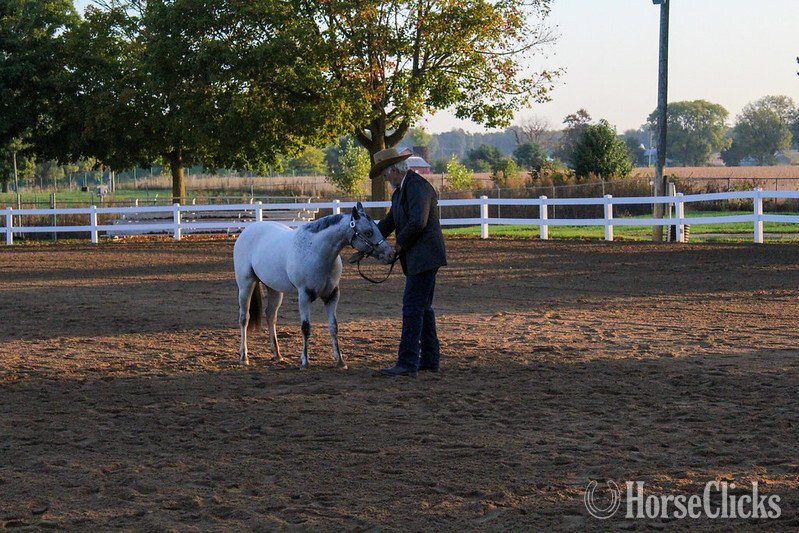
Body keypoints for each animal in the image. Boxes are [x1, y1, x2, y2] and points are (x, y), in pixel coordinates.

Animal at [233, 202, 395, 368]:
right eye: (368, 232)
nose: (391, 254)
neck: (316, 251)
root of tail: (248, 230)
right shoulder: (304, 295)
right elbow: (306, 327)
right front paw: (304, 361)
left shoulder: (332, 295)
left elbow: (333, 327)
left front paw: (340, 361)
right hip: (246, 284)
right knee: (244, 318)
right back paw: (244, 357)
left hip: (274, 289)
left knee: (271, 316)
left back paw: (278, 355)